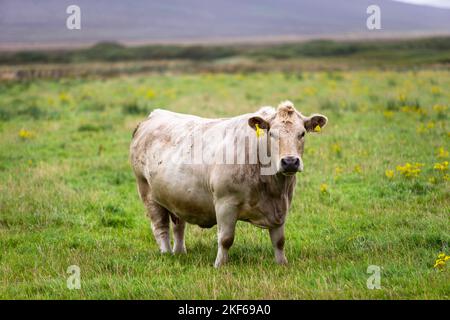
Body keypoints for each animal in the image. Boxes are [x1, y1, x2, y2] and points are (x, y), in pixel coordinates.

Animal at [130, 101, 326, 266]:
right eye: (271, 133)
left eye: (302, 133)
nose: (290, 161)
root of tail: (152, 117)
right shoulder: (225, 203)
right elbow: (225, 238)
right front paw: (220, 264)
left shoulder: (281, 207)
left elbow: (279, 241)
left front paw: (282, 264)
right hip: (147, 192)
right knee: (160, 227)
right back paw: (167, 254)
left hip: (177, 196)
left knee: (179, 225)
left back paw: (180, 253)